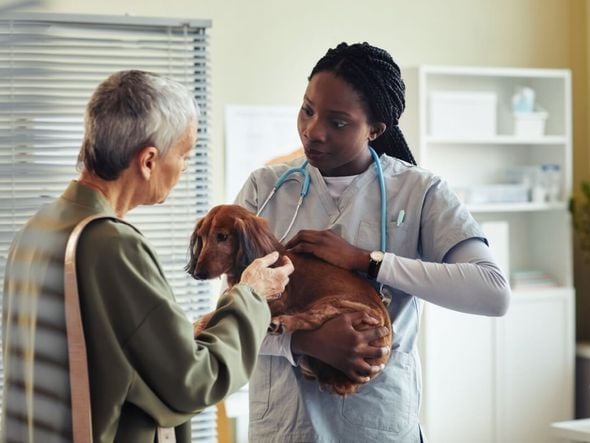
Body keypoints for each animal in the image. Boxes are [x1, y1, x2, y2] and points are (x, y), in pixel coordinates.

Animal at [186, 205, 394, 396]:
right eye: (202, 237)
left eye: (222, 236)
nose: (198, 273)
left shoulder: (275, 300)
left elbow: (216, 313)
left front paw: (197, 325)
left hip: (336, 302)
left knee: (311, 318)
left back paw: (280, 323)